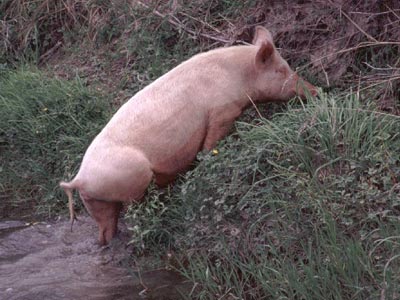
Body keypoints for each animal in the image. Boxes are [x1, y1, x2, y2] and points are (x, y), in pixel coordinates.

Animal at [59, 27, 318, 245]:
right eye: (281, 69)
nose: (316, 90)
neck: (239, 77)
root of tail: (80, 179)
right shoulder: (222, 113)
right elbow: (210, 145)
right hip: (132, 180)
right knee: (134, 210)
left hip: (95, 202)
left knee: (105, 227)